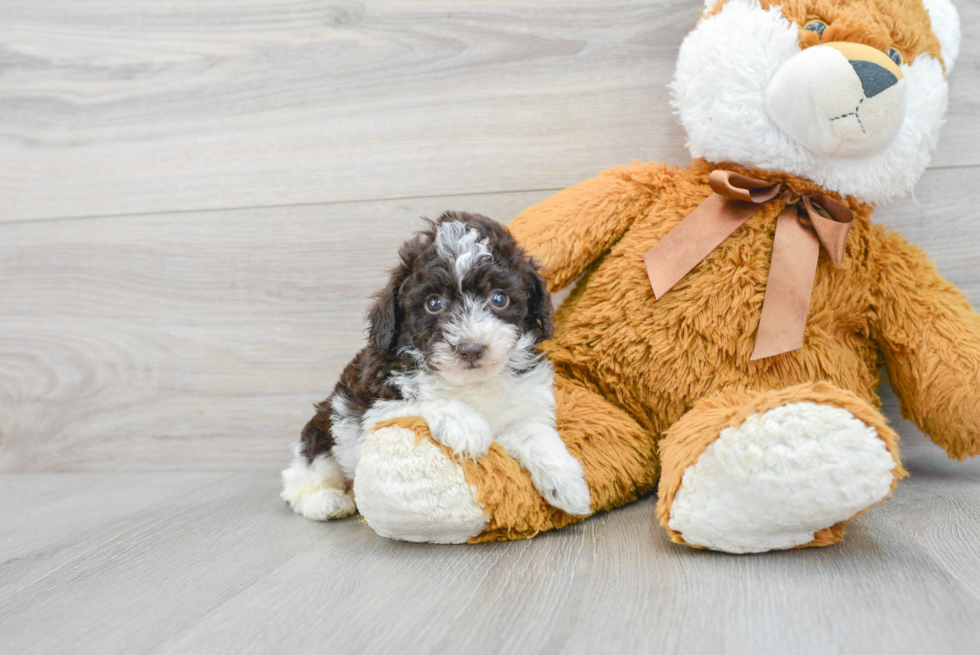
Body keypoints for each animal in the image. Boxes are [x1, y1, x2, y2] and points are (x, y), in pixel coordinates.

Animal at [284, 213, 588, 520]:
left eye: (499, 298)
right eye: (434, 304)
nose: (471, 349)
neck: (471, 382)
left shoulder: (523, 404)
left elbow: (534, 434)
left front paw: (568, 484)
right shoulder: (373, 407)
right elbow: (425, 402)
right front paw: (467, 425)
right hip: (323, 431)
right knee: (301, 479)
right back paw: (328, 501)